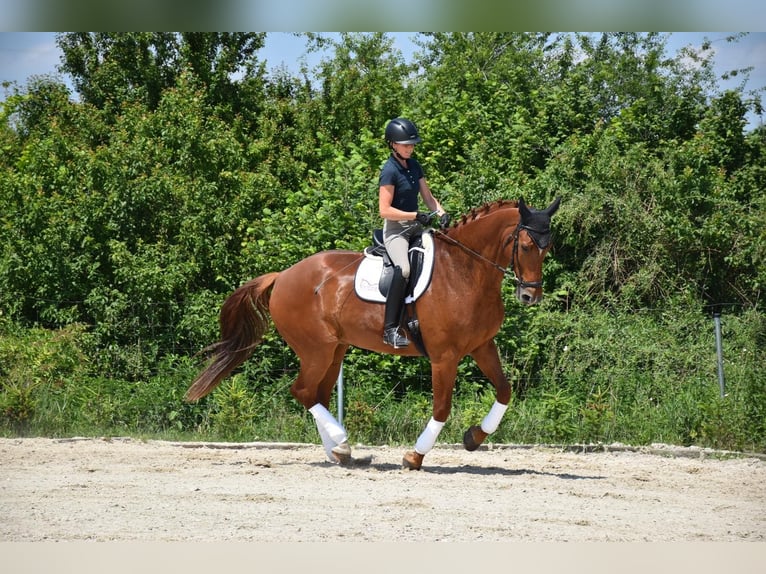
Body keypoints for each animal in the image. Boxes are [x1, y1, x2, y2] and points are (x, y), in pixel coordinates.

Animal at [183, 196, 560, 470]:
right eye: (526, 246)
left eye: (547, 247)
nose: (530, 295)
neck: (465, 271)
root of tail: (284, 275)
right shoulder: (445, 356)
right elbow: (441, 408)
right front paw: (414, 456)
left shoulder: (482, 346)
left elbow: (505, 391)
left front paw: (474, 438)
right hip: (316, 349)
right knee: (302, 391)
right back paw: (341, 441)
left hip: (334, 350)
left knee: (317, 394)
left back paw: (339, 452)